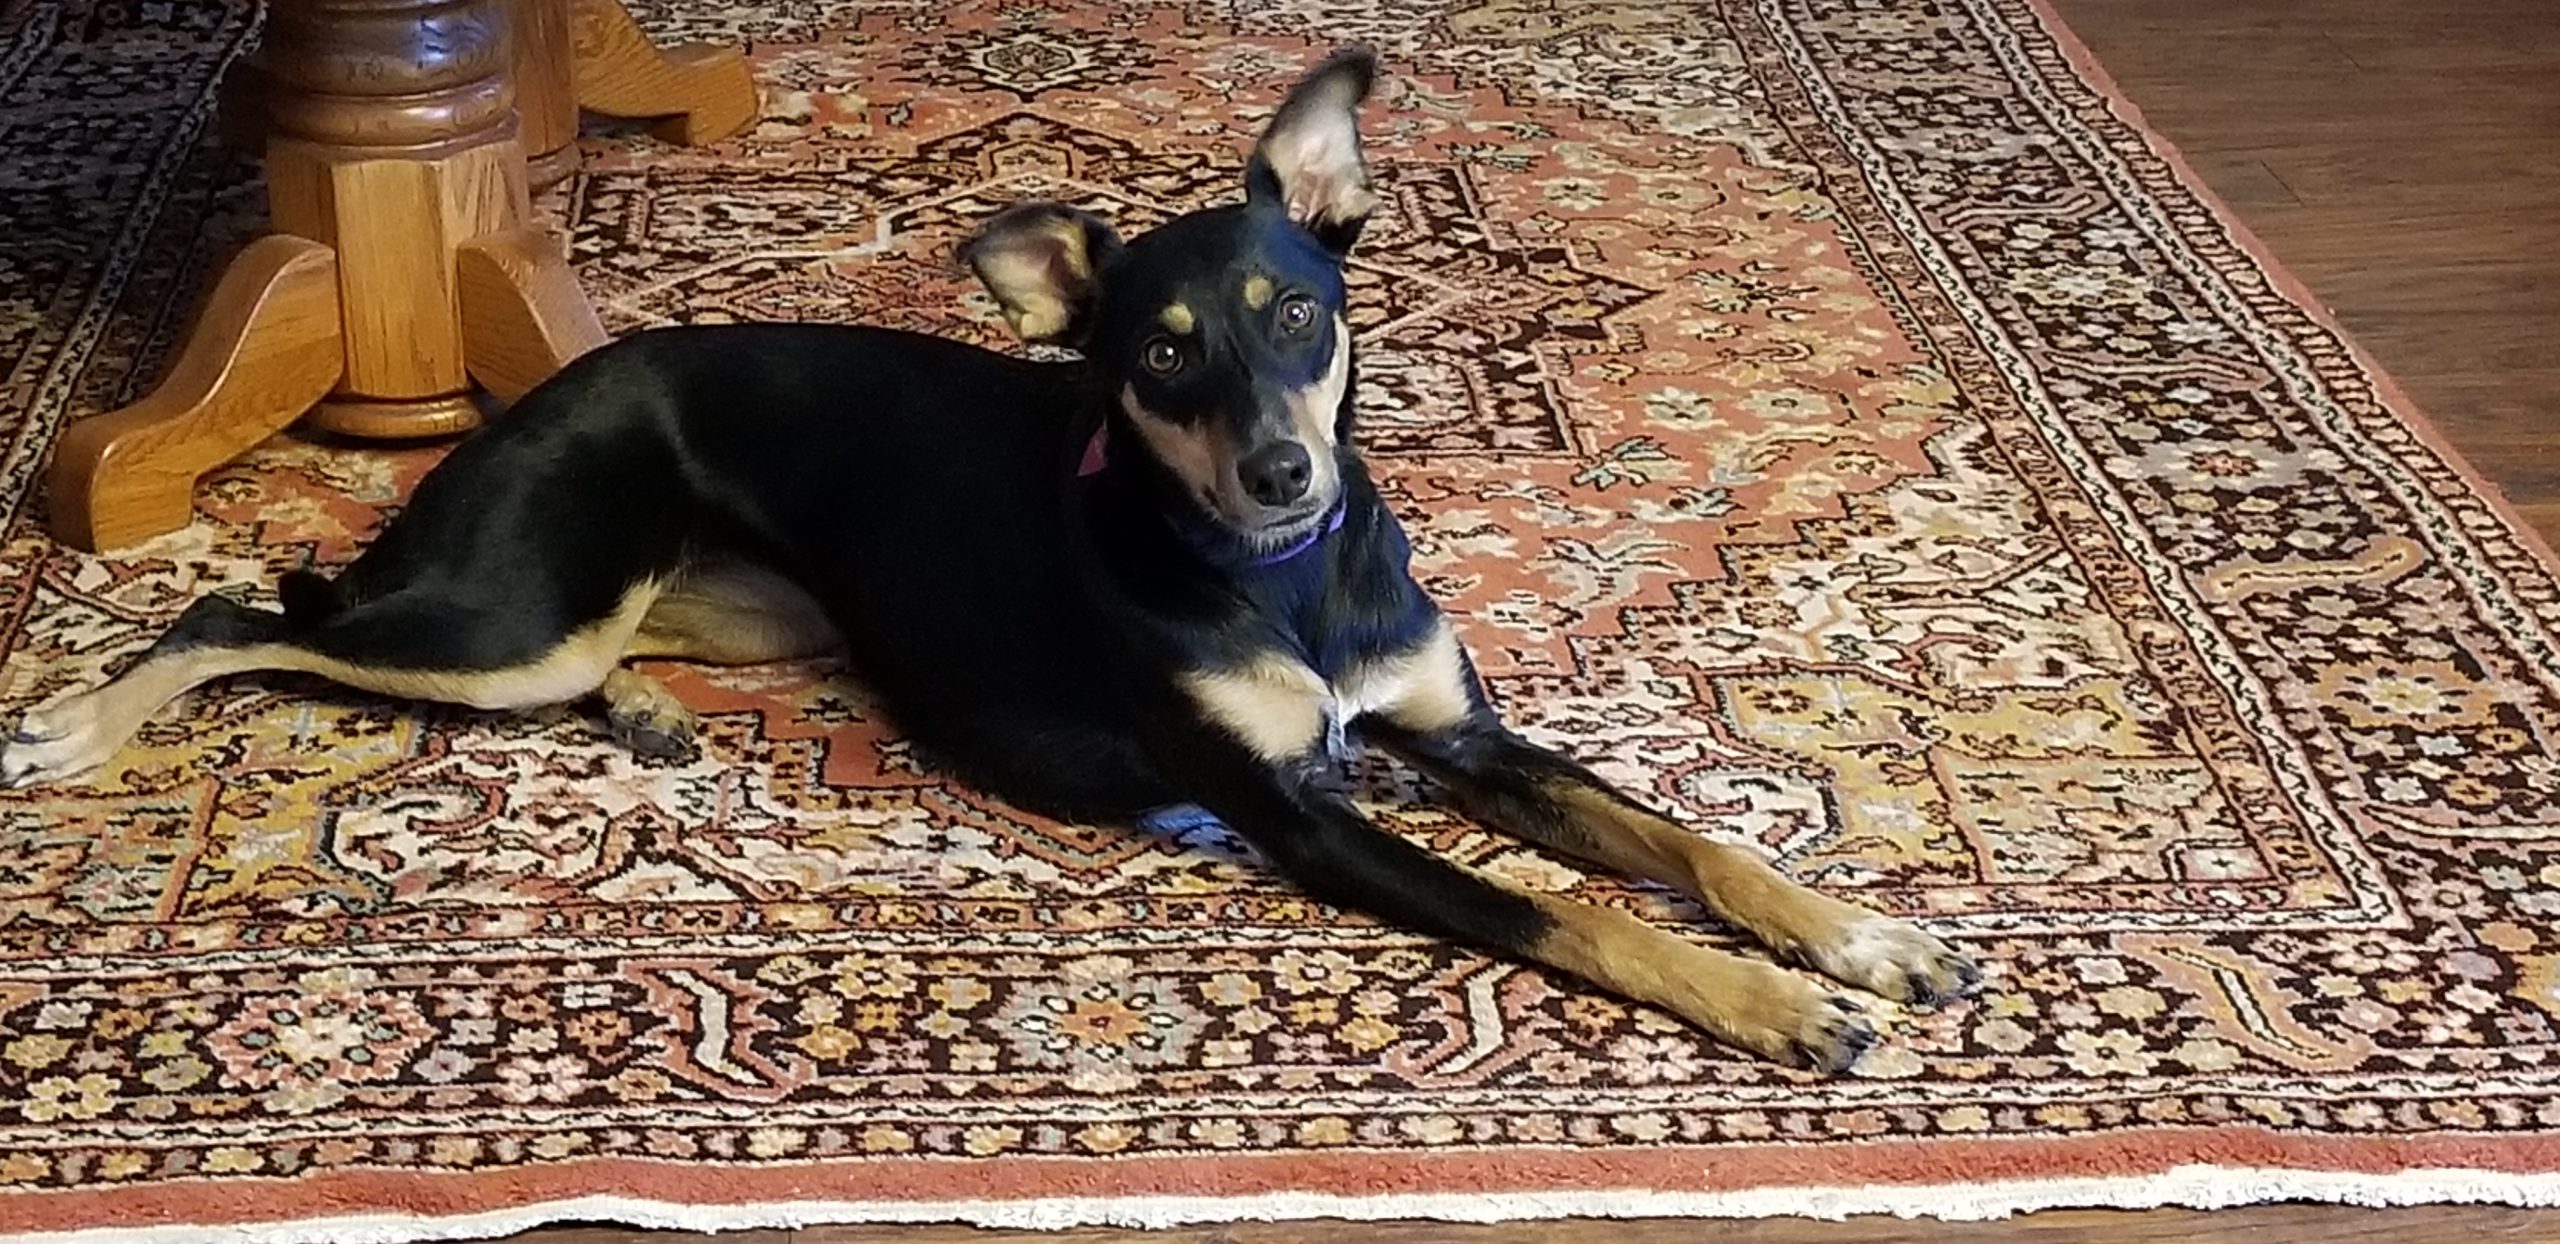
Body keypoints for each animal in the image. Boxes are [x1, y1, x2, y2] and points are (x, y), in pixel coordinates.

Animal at [0, 50, 1976, 1069]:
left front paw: (1855, 932)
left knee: (548, 644)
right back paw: (78, 728)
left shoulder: (1451, 731)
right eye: (1156, 353)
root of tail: (541, 382)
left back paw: (649, 718)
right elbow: (1574, 909)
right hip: (509, 614)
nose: (1284, 466)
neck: (1281, 574)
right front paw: (1784, 1005)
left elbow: (1679, 837)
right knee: (239, 608)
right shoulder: (1305, 815)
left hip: (716, 615)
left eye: (1297, 309)